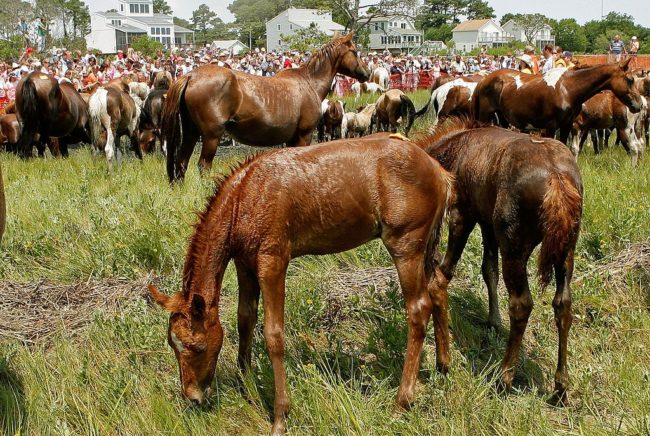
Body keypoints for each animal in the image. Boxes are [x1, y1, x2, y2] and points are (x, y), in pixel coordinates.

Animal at [148, 135, 450, 434]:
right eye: (173, 344)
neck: (245, 196)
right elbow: (245, 320)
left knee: (418, 308)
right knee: (437, 287)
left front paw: (280, 416)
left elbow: (273, 334)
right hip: (424, 248)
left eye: (196, 347)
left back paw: (402, 401)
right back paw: (443, 366)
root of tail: (438, 170)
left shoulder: (272, 261)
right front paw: (248, 391)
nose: (193, 396)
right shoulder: (244, 263)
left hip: (405, 246)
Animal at [416, 120, 584, 406]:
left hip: (515, 244)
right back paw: (561, 386)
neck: (452, 153)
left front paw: (444, 361)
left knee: (521, 303)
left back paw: (505, 377)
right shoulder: (488, 225)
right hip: (566, 249)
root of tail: (557, 179)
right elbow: (488, 270)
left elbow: (444, 276)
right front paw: (493, 320)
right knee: (563, 304)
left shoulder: (464, 214)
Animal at [470, 60, 644, 143]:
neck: (567, 89)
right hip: (484, 118)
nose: (640, 105)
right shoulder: (550, 126)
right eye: (630, 79)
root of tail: (483, 80)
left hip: (503, 120)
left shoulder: (566, 125)